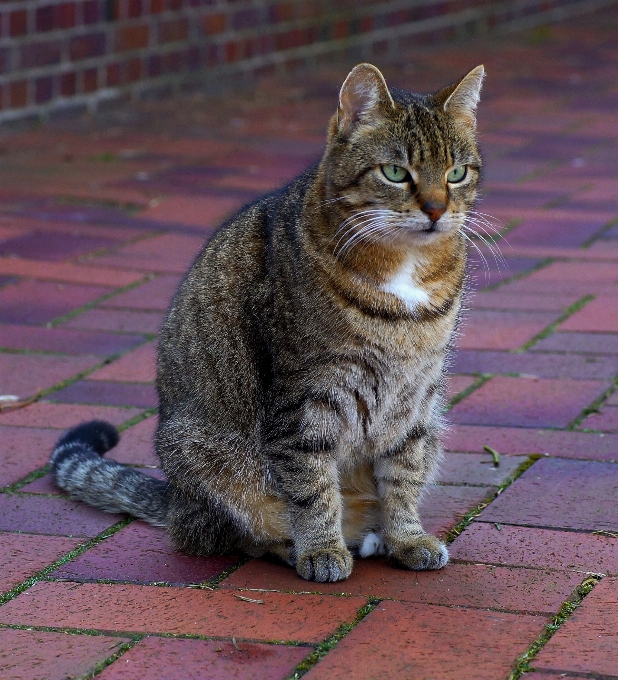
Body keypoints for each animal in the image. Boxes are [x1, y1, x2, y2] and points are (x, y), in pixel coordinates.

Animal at [50, 63, 484, 580]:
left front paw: (407, 537)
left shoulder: (416, 399)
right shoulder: (305, 397)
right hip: (208, 460)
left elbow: (403, 475)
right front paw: (321, 549)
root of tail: (176, 501)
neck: (404, 272)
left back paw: (371, 536)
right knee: (234, 534)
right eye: (396, 173)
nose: (437, 210)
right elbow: (311, 484)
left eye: (456, 173)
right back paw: (300, 547)